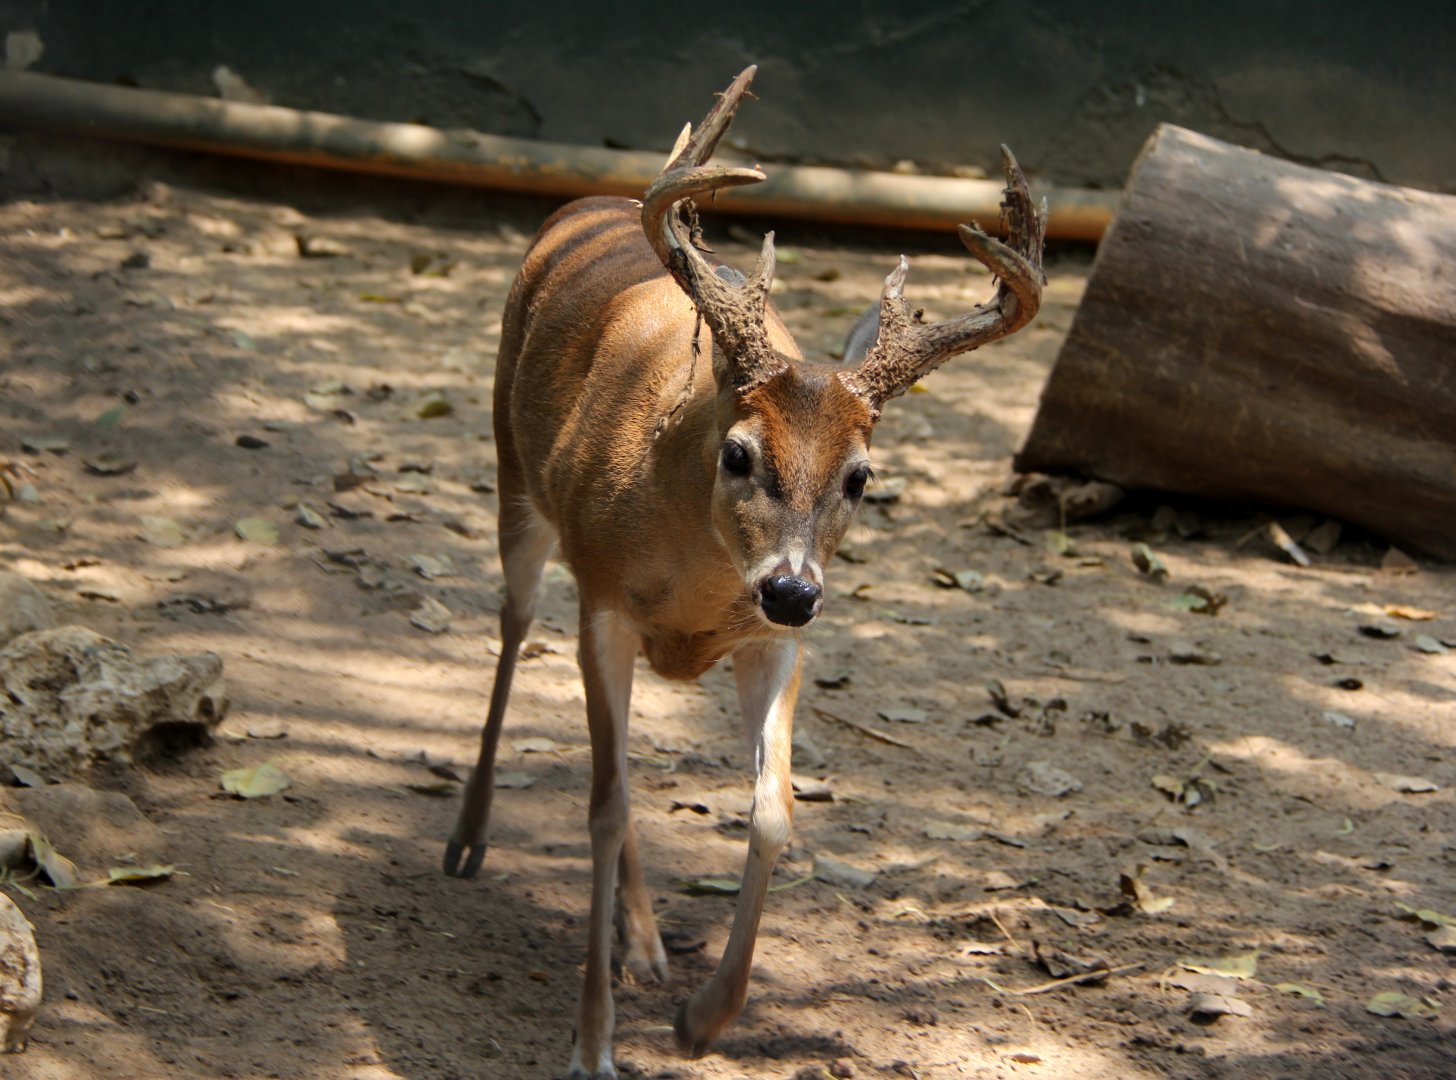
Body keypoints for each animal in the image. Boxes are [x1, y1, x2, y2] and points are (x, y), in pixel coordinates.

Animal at [442, 66, 1045, 1079]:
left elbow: (770, 812)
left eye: (861, 476)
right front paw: (593, 1043)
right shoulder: (602, 601)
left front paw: (706, 1017)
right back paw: (468, 838)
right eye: (738, 452)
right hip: (514, 477)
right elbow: (604, 807)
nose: (793, 589)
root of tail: (593, 202)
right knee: (512, 629)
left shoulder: (772, 644)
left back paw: (647, 947)